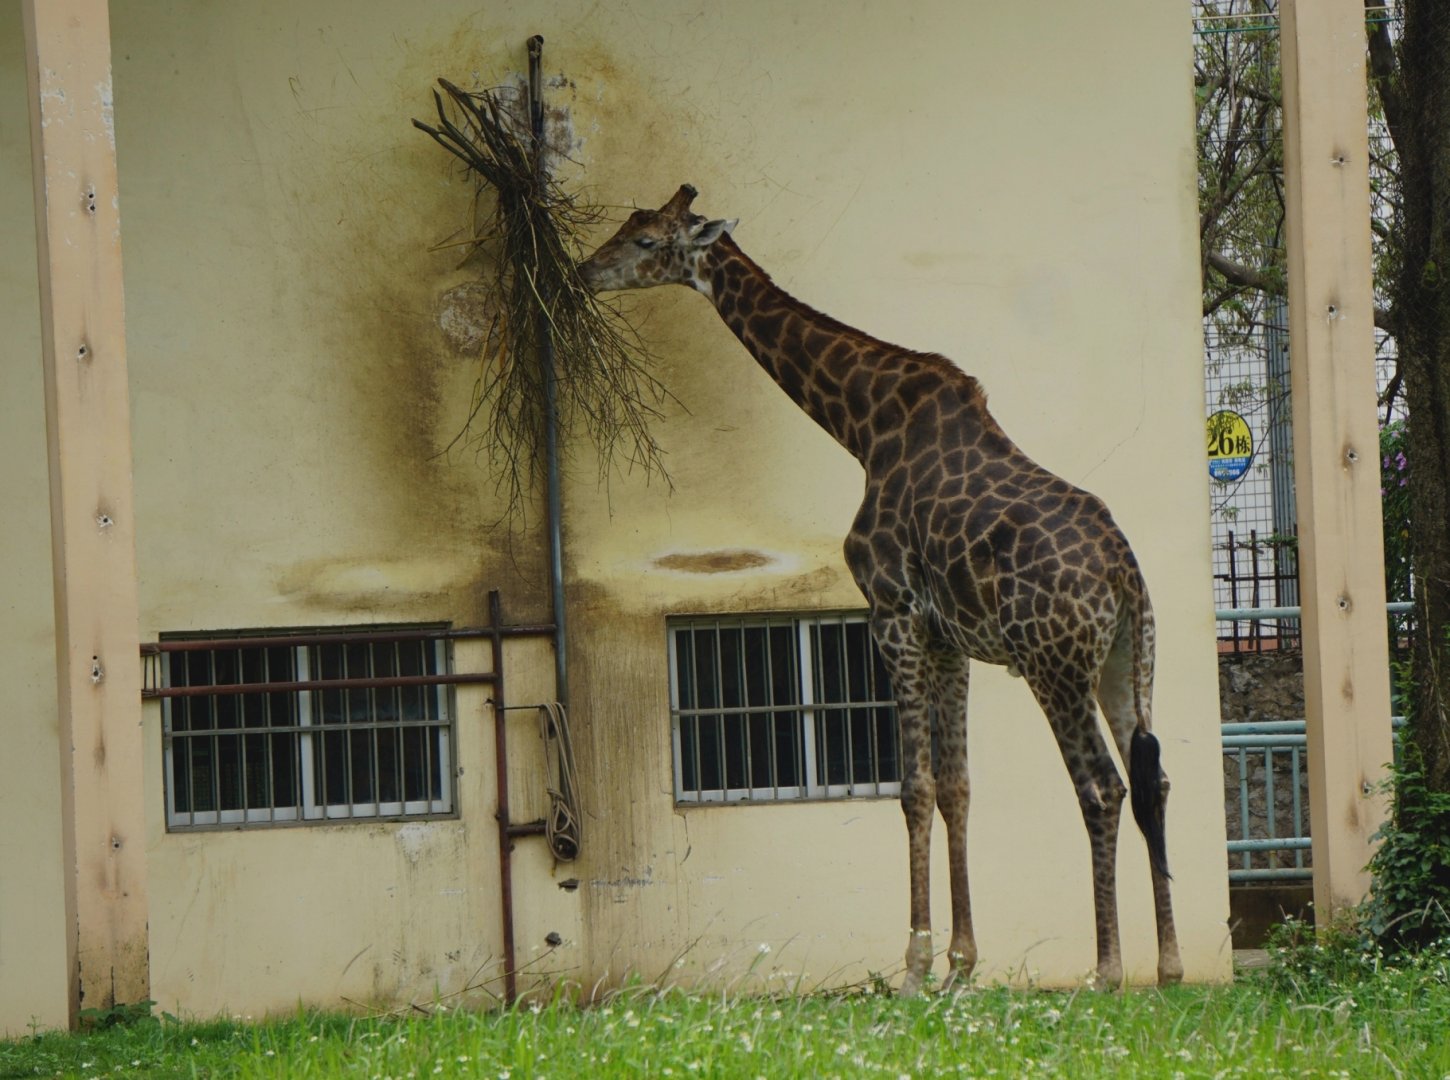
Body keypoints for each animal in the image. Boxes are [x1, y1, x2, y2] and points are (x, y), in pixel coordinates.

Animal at [578, 185, 1183, 993]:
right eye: (626, 225)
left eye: (646, 241)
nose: (585, 272)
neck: (861, 425)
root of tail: (1123, 572)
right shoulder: (948, 639)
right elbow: (957, 787)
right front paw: (961, 967)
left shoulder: (890, 611)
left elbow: (914, 788)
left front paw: (915, 967)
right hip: (1125, 661)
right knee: (1153, 779)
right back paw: (1171, 966)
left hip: (1053, 666)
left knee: (1102, 787)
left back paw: (1109, 970)